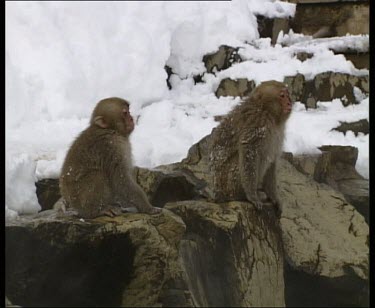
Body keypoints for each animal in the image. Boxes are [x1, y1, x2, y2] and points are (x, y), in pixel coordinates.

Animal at [212, 80, 294, 218]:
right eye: (282, 96)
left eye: (287, 95)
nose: (290, 102)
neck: (267, 112)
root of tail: (217, 193)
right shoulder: (257, 125)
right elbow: (249, 152)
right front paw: (252, 197)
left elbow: (272, 160)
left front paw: (274, 197)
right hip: (227, 184)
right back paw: (244, 195)